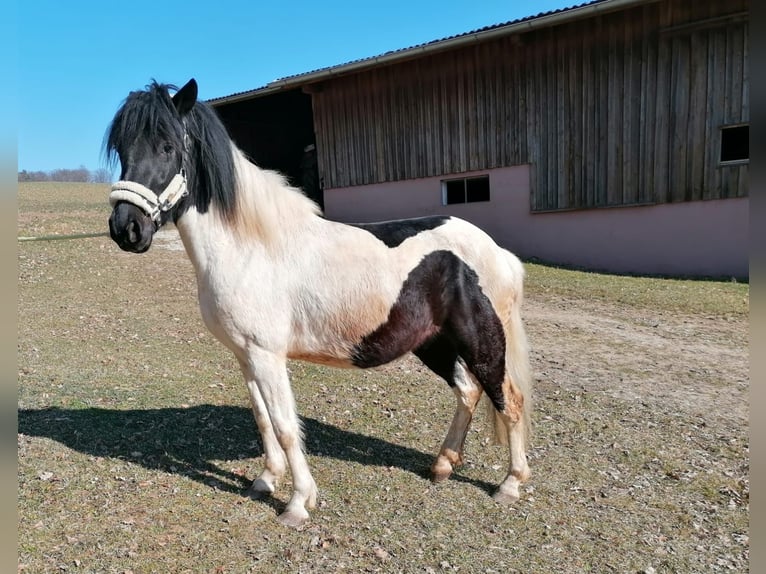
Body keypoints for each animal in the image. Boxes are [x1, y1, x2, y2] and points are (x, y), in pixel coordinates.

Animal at [106, 79, 536, 528]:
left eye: (167, 147)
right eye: (121, 148)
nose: (127, 229)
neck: (250, 247)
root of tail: (497, 252)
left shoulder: (267, 356)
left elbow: (284, 425)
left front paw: (297, 503)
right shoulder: (245, 356)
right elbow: (262, 418)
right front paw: (265, 481)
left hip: (481, 340)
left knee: (509, 400)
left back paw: (510, 483)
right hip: (435, 343)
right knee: (468, 392)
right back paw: (442, 466)